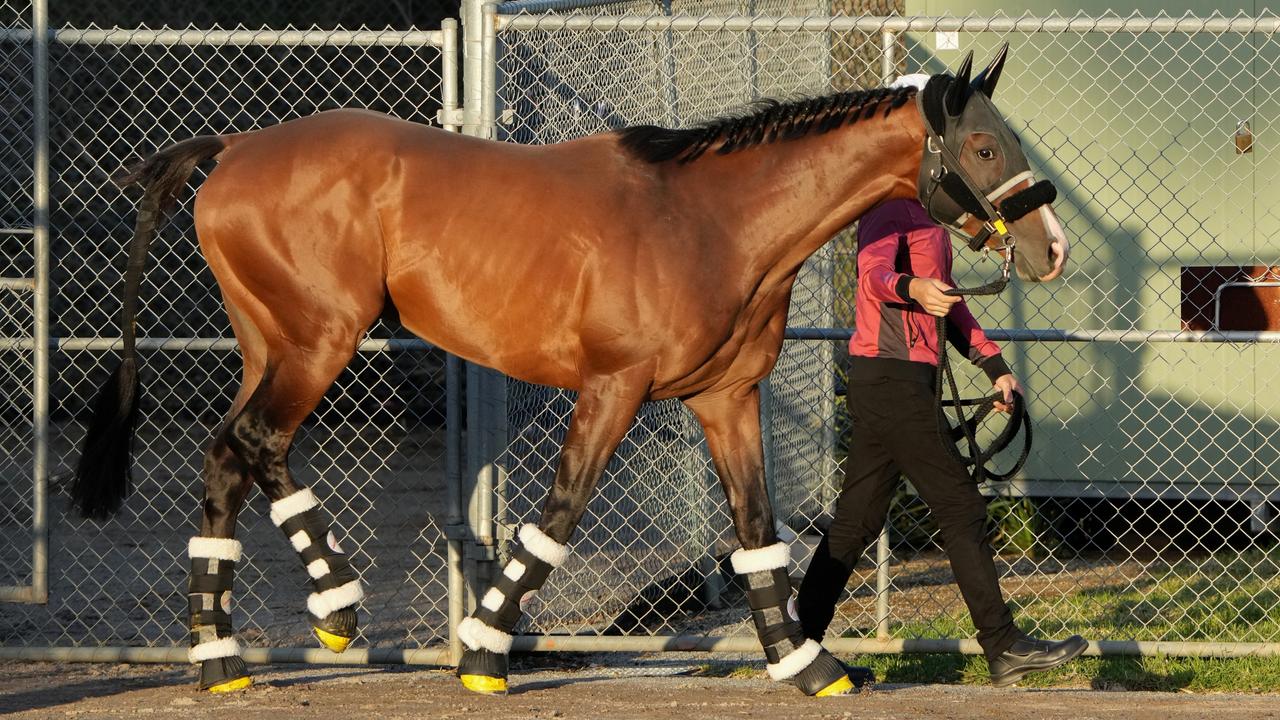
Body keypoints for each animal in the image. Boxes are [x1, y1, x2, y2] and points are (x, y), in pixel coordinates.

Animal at [72, 46, 1070, 696]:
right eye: (986, 147)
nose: (1049, 244)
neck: (710, 219)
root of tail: (235, 149)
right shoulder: (613, 388)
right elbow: (557, 517)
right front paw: (482, 653)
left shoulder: (725, 399)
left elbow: (756, 530)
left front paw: (807, 663)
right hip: (317, 342)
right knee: (251, 446)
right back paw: (294, 625)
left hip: (275, 345)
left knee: (235, 458)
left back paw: (259, 643)